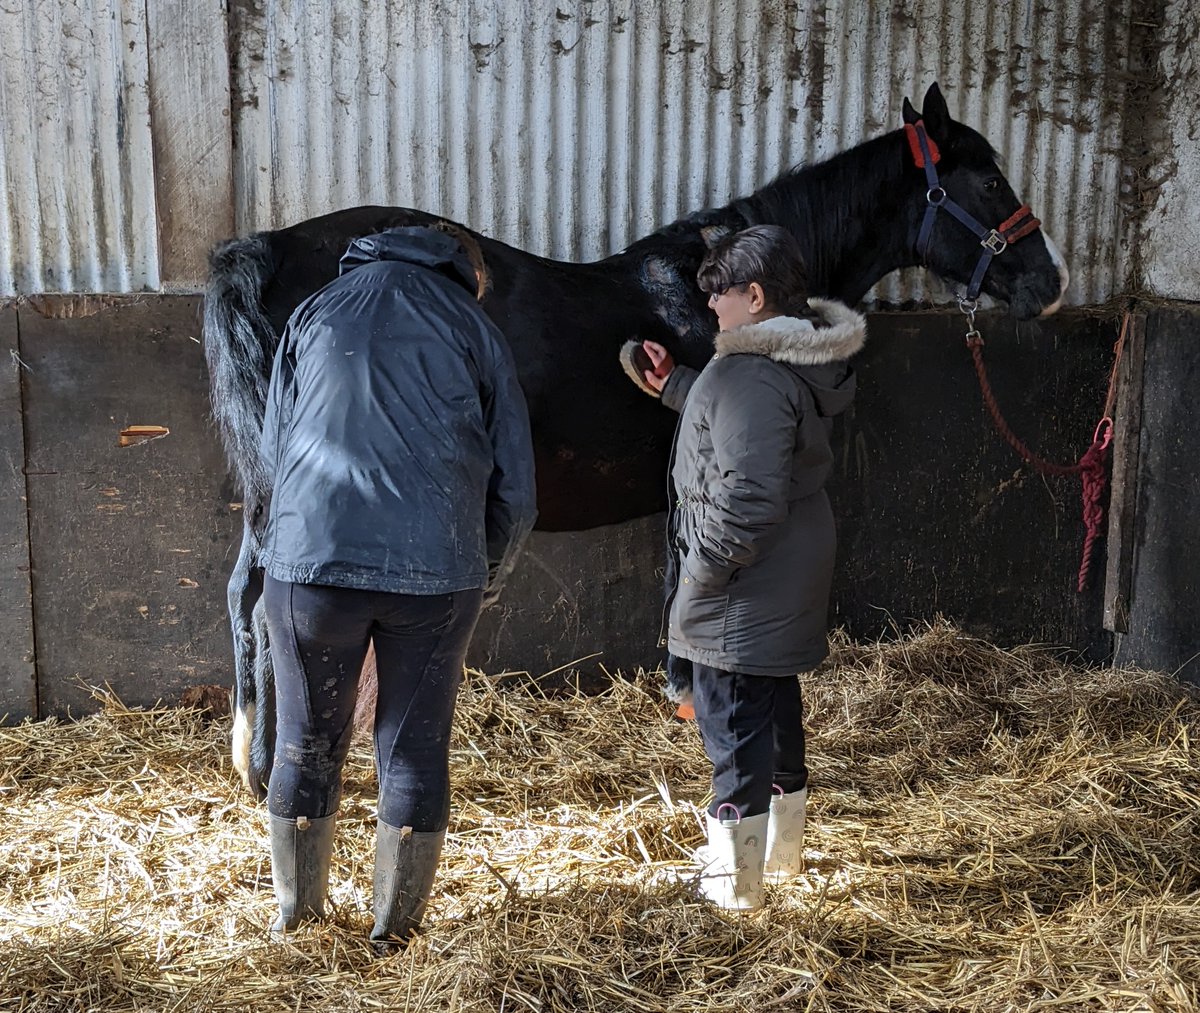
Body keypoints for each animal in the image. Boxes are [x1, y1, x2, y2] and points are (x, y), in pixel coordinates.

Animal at [204, 83, 1069, 800]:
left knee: (243, 592)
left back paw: (251, 756)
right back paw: (277, 763)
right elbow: (690, 574)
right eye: (988, 182)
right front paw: (690, 689)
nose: (1051, 284)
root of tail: (270, 250)